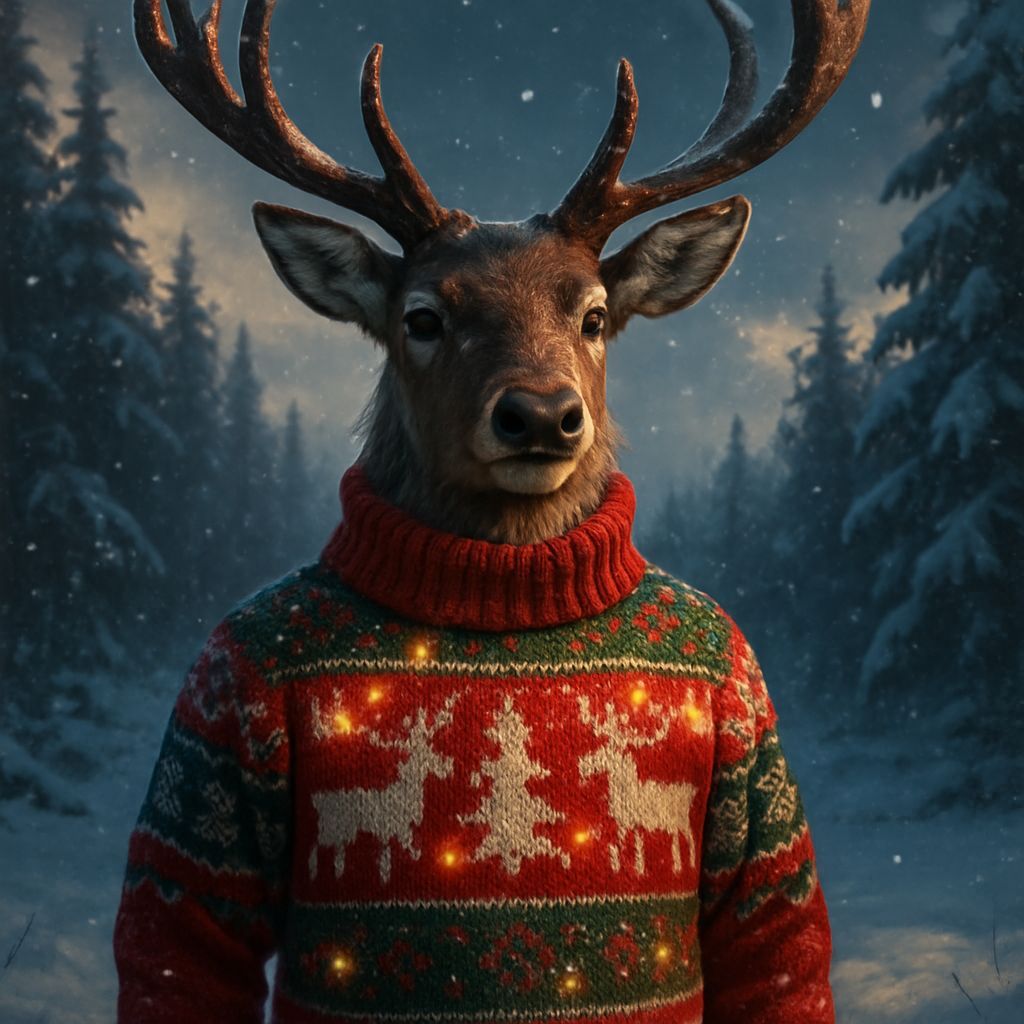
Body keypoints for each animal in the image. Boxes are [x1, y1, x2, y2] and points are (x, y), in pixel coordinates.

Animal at [577, 695, 698, 875]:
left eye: (608, 751)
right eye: (603, 745)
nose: (583, 765)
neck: (628, 791)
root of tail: (691, 791)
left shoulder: (637, 821)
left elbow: (638, 845)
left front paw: (639, 868)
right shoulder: (623, 823)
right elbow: (621, 844)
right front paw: (620, 866)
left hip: (682, 819)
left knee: (689, 837)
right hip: (674, 822)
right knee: (676, 838)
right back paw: (677, 864)